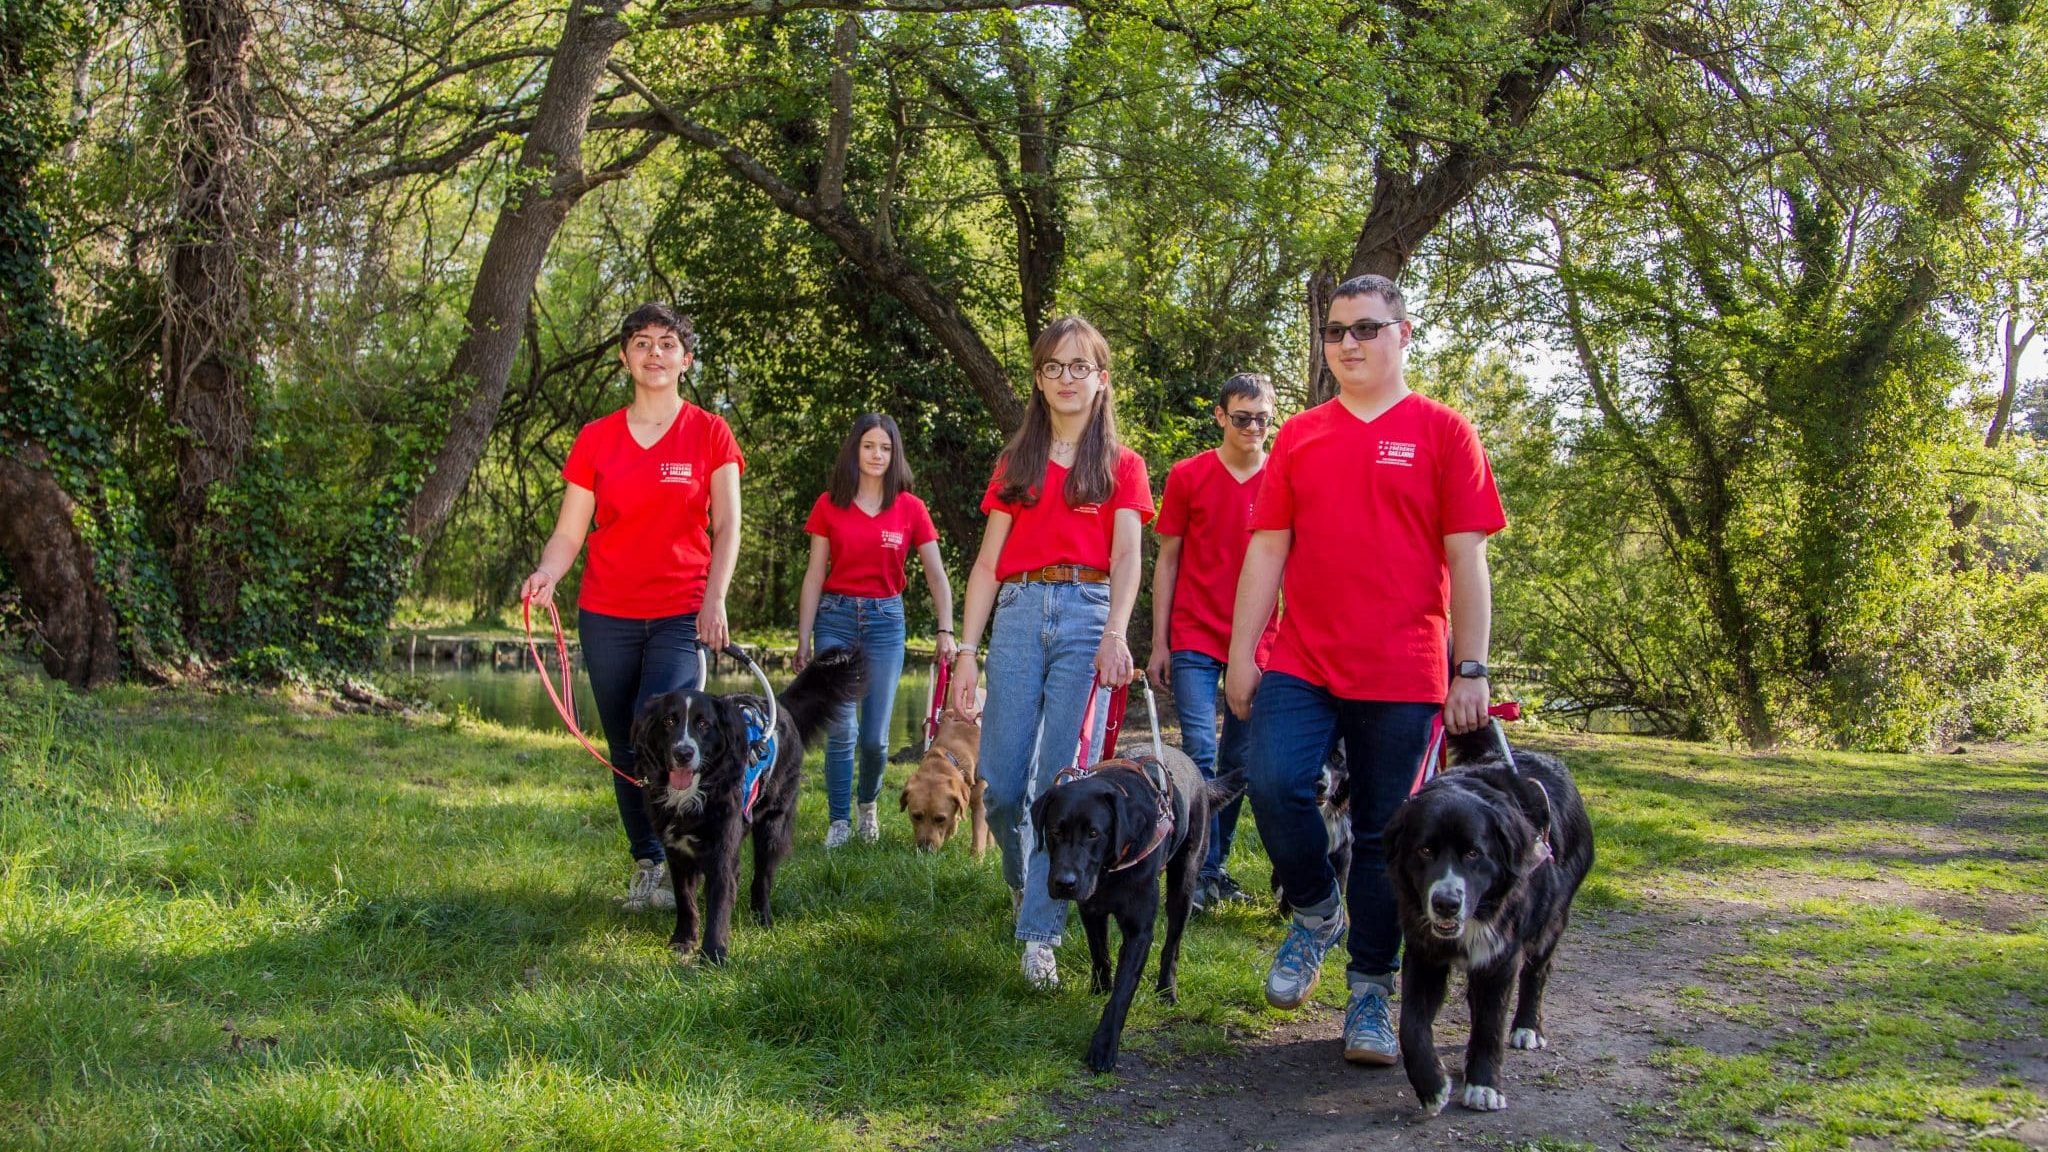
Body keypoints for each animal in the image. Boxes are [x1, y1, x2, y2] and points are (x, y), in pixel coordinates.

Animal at [626, 647, 860, 959]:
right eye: (669, 721)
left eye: (703, 724)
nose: (683, 753)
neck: (695, 794)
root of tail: (780, 705)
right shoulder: (677, 852)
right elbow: (686, 900)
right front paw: (683, 941)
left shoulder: (723, 850)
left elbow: (719, 904)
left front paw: (714, 954)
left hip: (772, 827)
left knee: (762, 878)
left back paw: (763, 918)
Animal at [1384, 725, 1589, 1115]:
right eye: (1425, 850)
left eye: (1473, 853)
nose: (1446, 903)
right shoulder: (1423, 952)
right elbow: (1411, 1025)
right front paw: (1431, 1086)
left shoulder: (1502, 957)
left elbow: (1490, 1026)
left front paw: (1483, 1084)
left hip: (1551, 923)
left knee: (1537, 974)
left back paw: (1527, 1027)